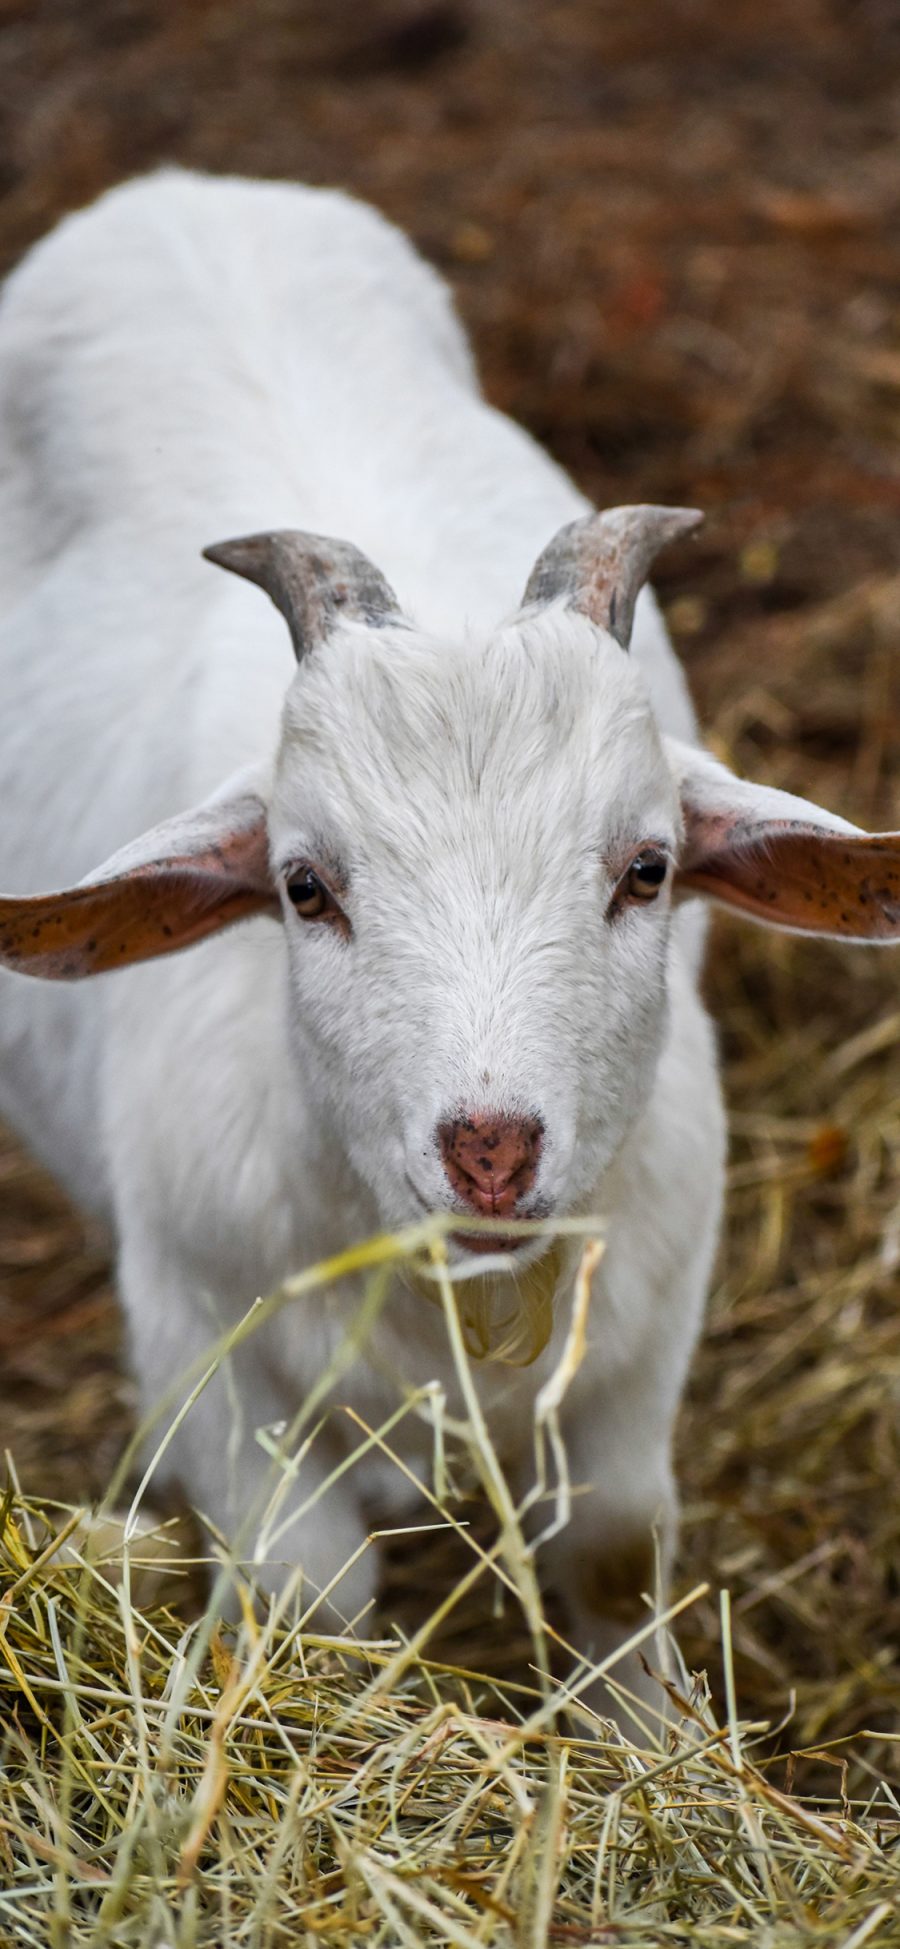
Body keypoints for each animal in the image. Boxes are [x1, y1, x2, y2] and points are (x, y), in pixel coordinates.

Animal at [1, 167, 900, 1722]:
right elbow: (311, 1596)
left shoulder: (644, 1328)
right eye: (304, 885)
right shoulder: (202, 1353)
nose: (491, 1146)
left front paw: (650, 1734)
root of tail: (190, 190)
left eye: (649, 867)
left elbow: (616, 1548)